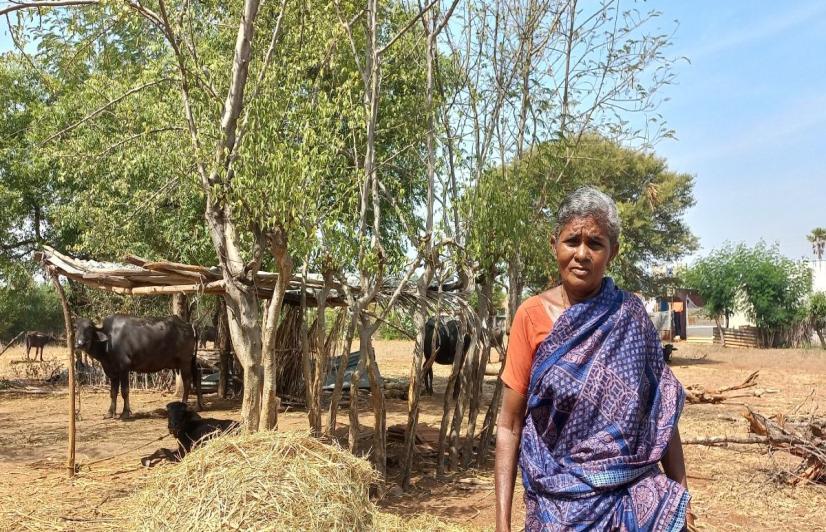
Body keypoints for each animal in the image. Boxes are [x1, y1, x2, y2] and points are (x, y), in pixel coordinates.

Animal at [74, 314, 203, 418]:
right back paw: (199, 405)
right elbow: (113, 392)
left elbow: (124, 391)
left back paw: (185, 404)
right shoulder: (111, 371)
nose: (80, 344)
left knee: (187, 382)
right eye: (76, 328)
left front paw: (125, 412)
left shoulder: (124, 368)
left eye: (89, 328)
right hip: (190, 360)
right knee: (197, 376)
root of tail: (188, 325)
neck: (108, 341)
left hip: (184, 361)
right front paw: (110, 412)